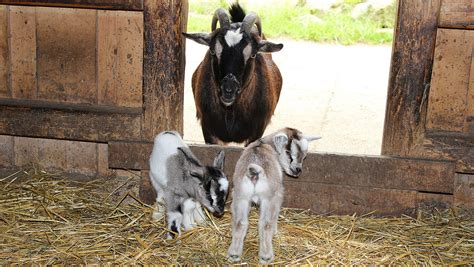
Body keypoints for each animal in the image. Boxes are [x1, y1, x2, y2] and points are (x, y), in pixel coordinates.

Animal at [183, 3, 284, 147]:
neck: (230, 112)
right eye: (212, 51)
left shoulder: (257, 132)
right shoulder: (208, 130)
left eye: (253, 54)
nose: (228, 90)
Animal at [227, 127, 322, 264]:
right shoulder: (277, 195)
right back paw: (266, 256)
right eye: (289, 153)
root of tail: (256, 172)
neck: (264, 143)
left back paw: (234, 254)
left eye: (304, 156)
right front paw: (275, 231)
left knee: (240, 222)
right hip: (268, 198)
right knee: (265, 224)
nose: (298, 170)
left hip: (240, 196)